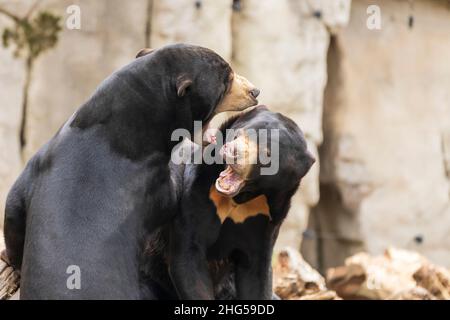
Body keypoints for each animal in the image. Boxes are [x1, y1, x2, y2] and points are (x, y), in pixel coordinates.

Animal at [142, 106, 314, 298]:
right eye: (238, 134)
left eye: (266, 153)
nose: (232, 151)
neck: (241, 198)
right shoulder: (197, 197)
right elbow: (189, 258)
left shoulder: (268, 218)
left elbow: (256, 272)